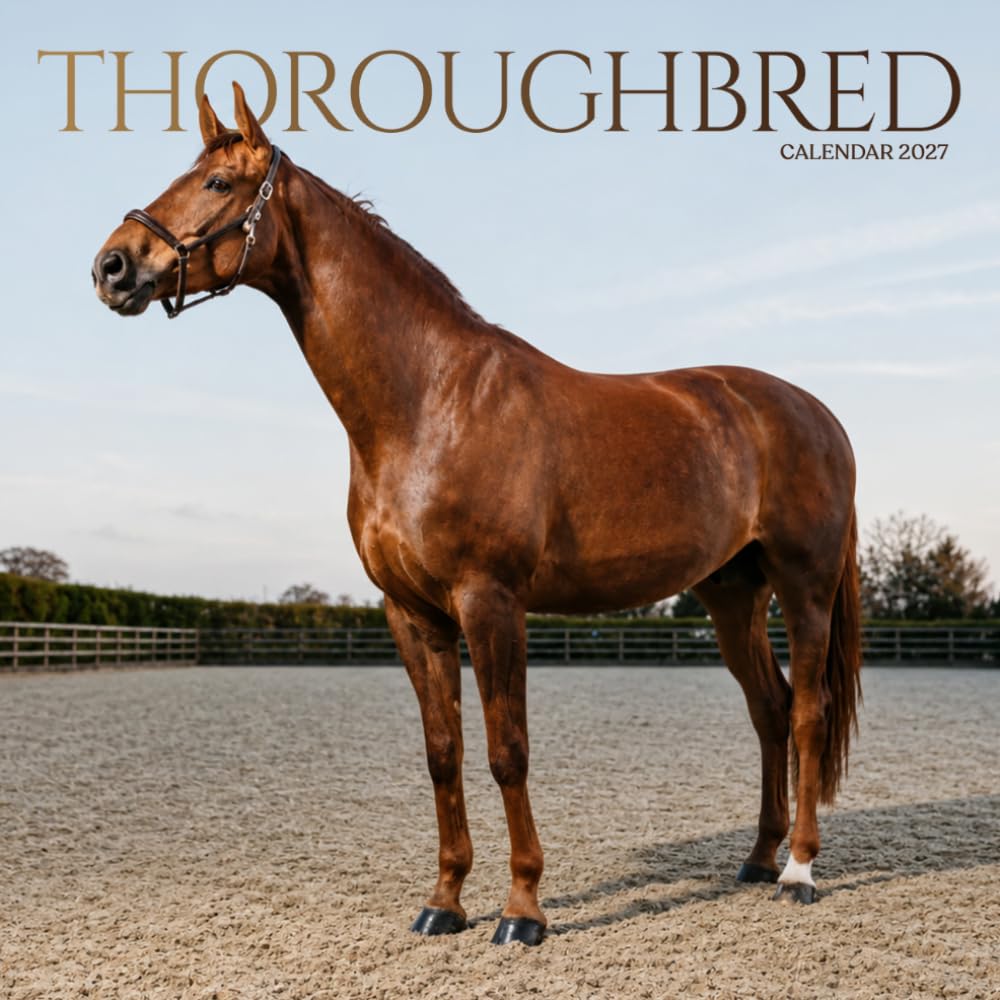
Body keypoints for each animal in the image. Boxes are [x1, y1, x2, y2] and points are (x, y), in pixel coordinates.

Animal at [93, 83, 862, 946]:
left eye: (219, 183)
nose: (112, 266)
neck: (429, 401)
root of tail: (815, 413)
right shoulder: (413, 613)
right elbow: (443, 754)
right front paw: (445, 900)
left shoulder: (491, 601)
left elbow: (506, 750)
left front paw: (523, 910)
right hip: (732, 593)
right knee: (768, 712)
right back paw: (759, 858)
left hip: (803, 586)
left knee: (807, 714)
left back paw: (799, 871)